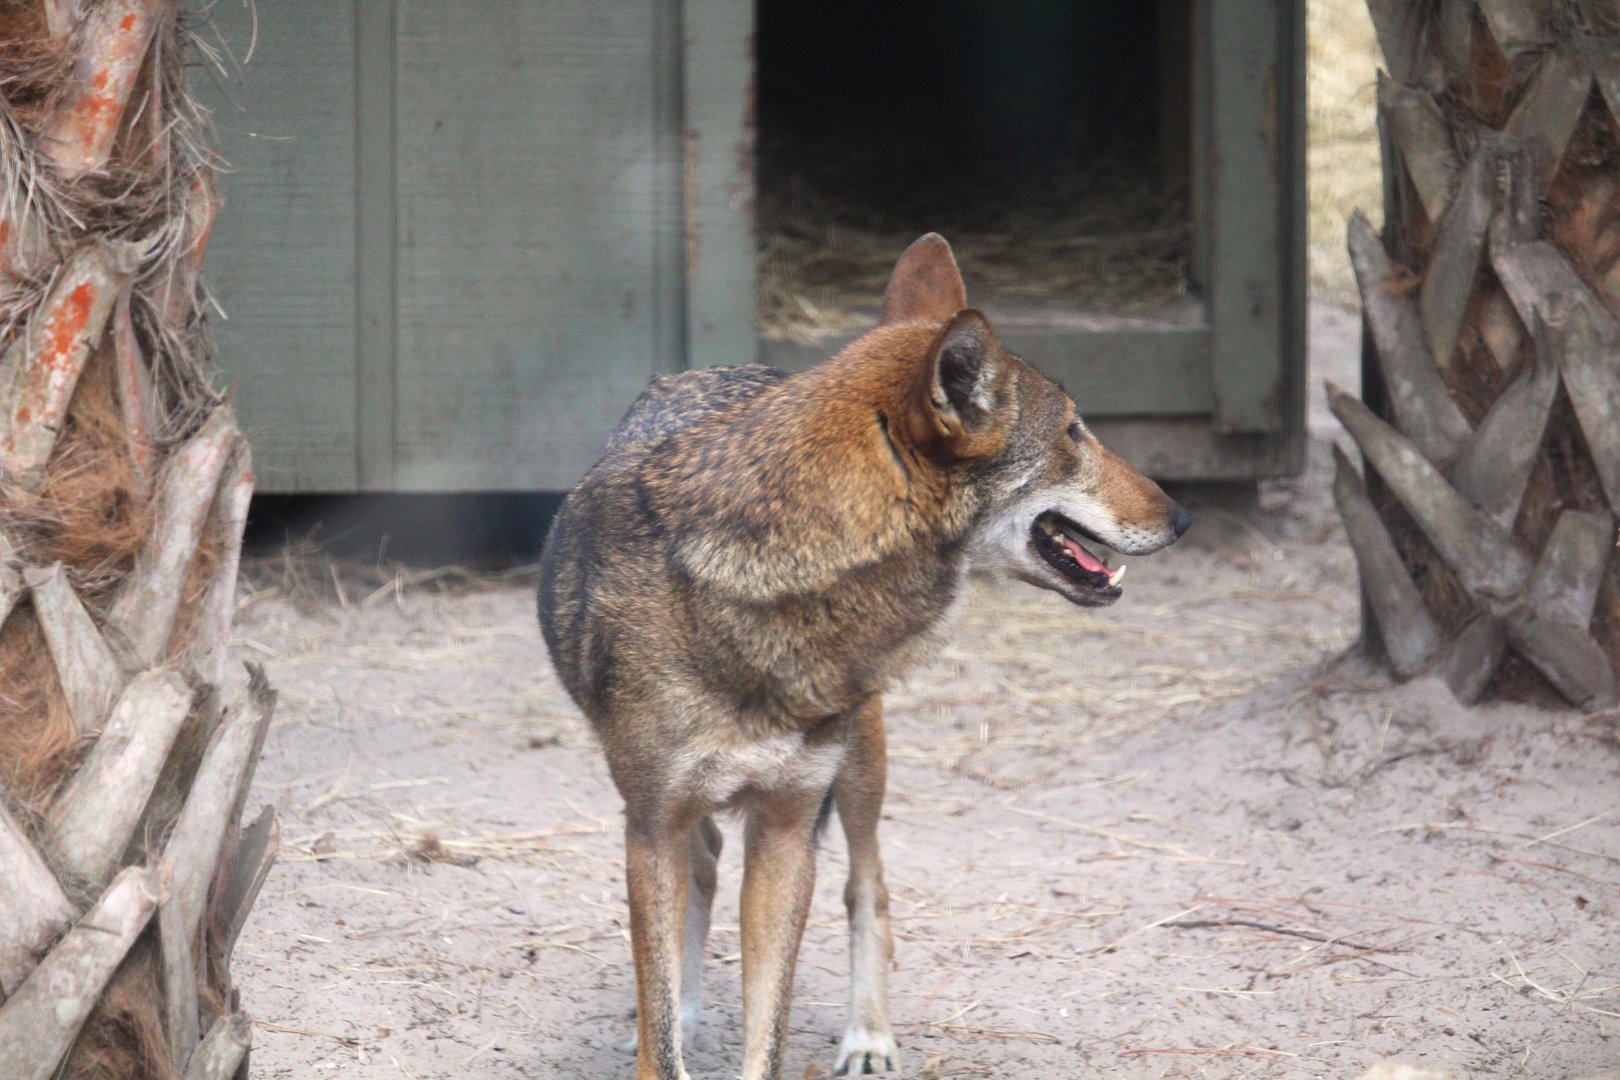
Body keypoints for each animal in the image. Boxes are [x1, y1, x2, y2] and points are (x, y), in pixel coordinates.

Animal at [538, 234, 1189, 1079]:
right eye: (1075, 433)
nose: (1182, 515)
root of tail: (734, 367)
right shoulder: (650, 826)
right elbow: (663, 1026)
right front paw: (668, 1020)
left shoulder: (787, 831)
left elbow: (771, 1032)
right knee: (706, 868)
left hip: (859, 766)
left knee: (867, 887)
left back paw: (868, 1037)